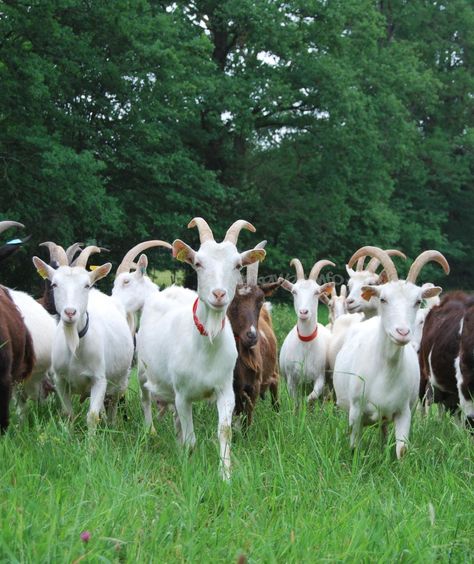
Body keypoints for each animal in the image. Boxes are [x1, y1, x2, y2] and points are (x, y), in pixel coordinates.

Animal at [32, 242, 133, 428]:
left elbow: (92, 416)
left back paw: (112, 426)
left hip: (121, 379)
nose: (70, 312)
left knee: (114, 402)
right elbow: (68, 414)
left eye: (87, 285)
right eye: (54, 284)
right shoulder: (60, 380)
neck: (74, 344)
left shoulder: (99, 380)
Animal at [136, 218, 266, 478]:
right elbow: (191, 438)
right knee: (145, 398)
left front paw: (225, 474)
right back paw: (149, 432)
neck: (207, 346)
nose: (219, 293)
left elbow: (224, 432)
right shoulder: (183, 394)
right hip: (143, 370)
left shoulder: (226, 390)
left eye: (237, 265)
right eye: (198, 263)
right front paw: (188, 468)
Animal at [280, 258, 336, 404]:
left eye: (316, 292)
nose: (303, 312)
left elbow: (313, 395)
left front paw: (307, 403)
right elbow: (294, 401)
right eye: (294, 291)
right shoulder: (291, 378)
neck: (305, 344)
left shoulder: (320, 376)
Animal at [334, 247, 448, 458]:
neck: (385, 370)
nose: (402, 332)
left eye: (418, 301)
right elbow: (355, 447)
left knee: (383, 430)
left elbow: (401, 449)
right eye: (383, 299)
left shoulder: (404, 412)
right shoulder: (356, 412)